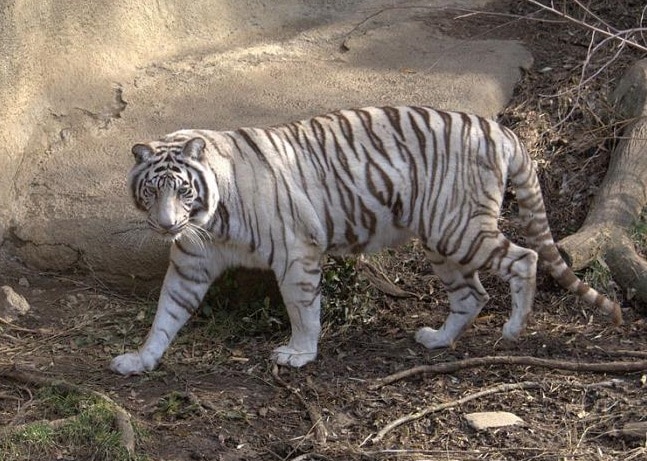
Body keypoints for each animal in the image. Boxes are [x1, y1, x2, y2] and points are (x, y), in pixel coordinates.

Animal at [110, 105, 624, 374]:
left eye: (183, 190)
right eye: (152, 191)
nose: (166, 226)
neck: (210, 219)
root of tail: (499, 128)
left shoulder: (297, 254)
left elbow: (302, 309)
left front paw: (299, 354)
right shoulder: (191, 262)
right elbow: (167, 312)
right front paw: (140, 359)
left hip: (458, 229)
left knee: (524, 259)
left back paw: (514, 329)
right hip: (440, 241)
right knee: (472, 294)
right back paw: (437, 340)